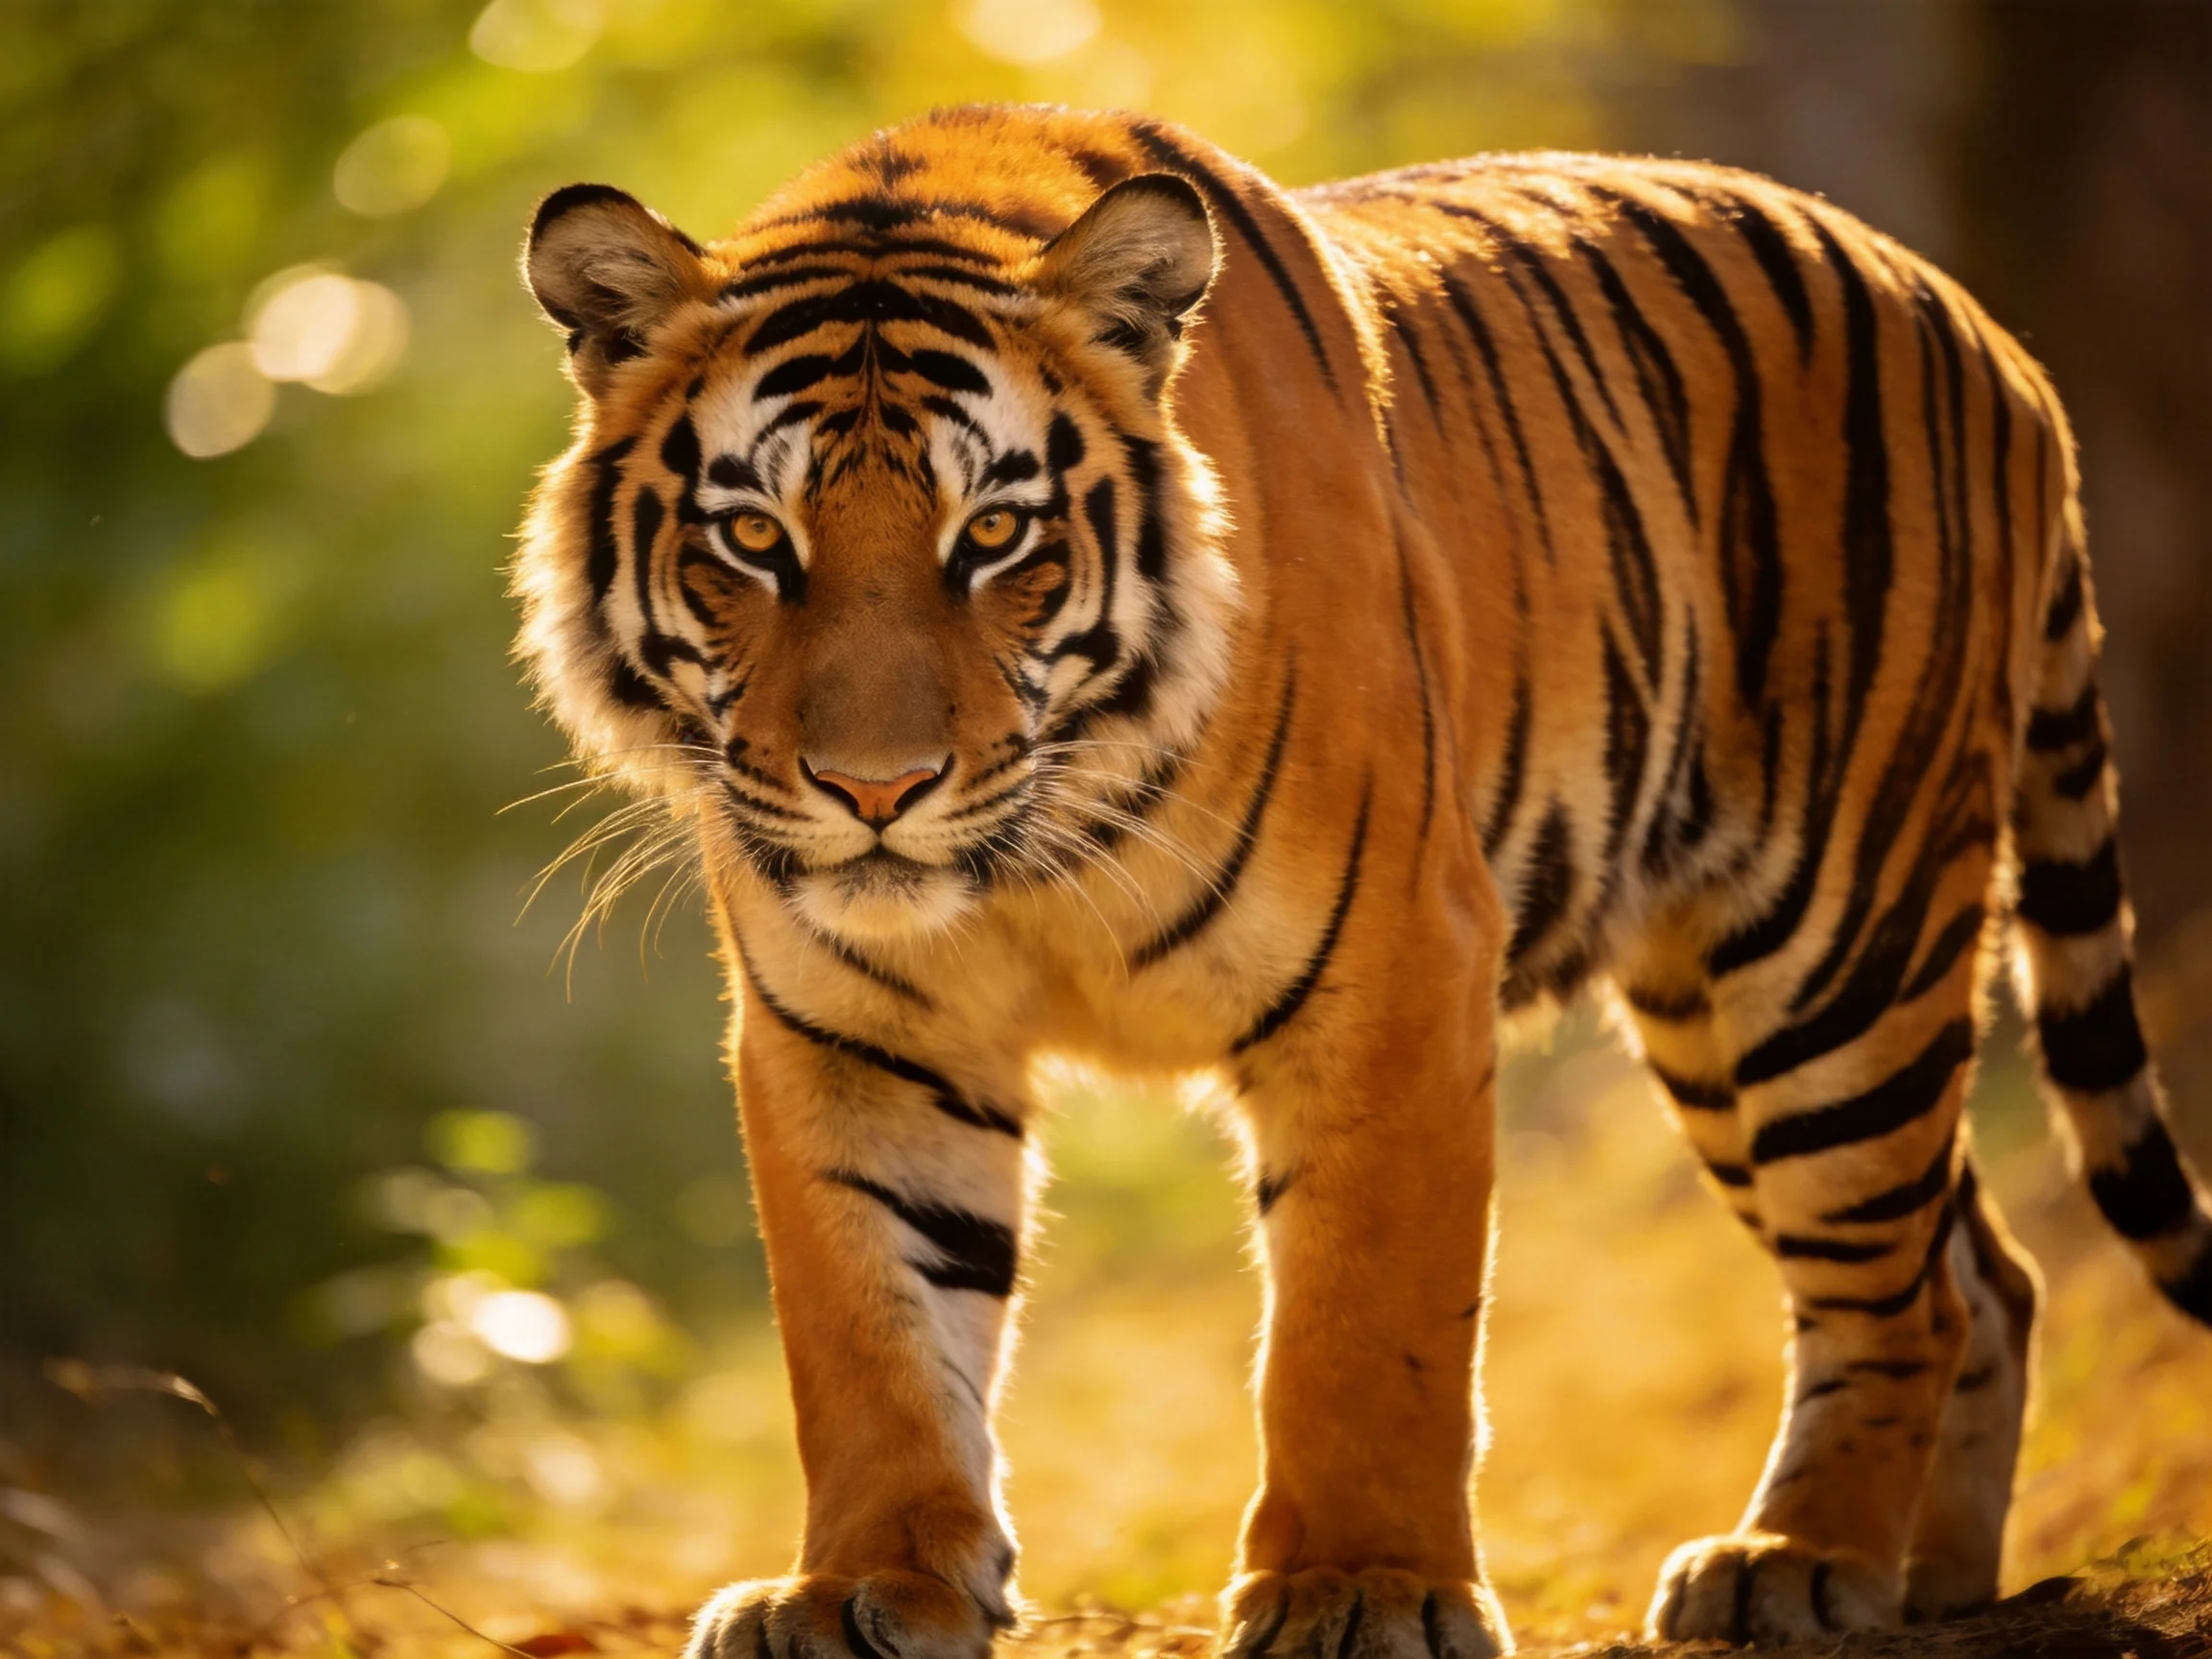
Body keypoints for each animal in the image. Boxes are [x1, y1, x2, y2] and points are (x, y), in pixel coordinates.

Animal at [511, 104, 2212, 1655]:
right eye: (753, 537)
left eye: (993, 533)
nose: (875, 792)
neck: (1038, 854)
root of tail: (1989, 333)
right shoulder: (854, 1035)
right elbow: (870, 1329)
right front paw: (865, 1587)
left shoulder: (1395, 969)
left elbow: (1362, 1325)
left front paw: (1361, 1591)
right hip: (1717, 1018)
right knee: (1984, 1271)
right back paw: (1930, 1586)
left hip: (1834, 944)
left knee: (1898, 1281)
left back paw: (1798, 1564)